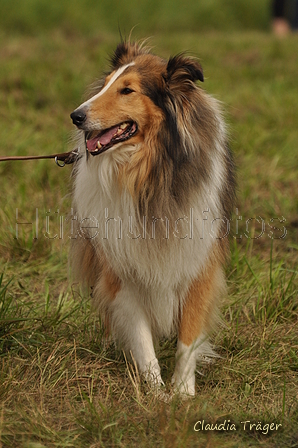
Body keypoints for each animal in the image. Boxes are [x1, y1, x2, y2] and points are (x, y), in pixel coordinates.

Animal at [70, 41, 235, 396]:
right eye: (105, 84)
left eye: (127, 90)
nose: (76, 116)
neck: (148, 172)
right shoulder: (122, 269)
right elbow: (142, 338)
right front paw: (156, 394)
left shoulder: (199, 262)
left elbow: (188, 337)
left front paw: (183, 393)